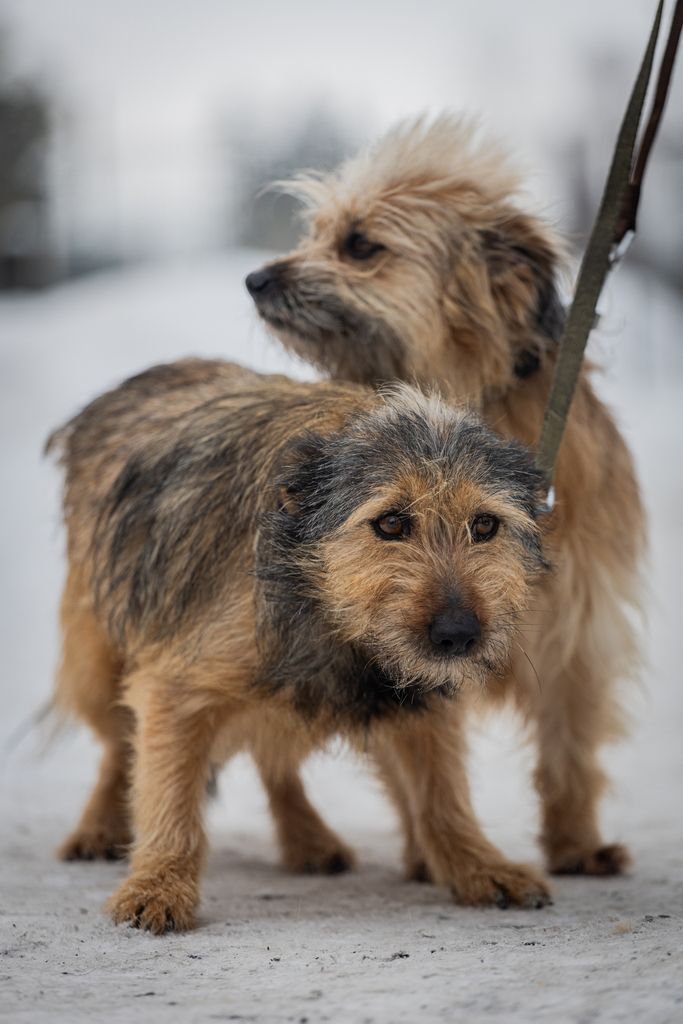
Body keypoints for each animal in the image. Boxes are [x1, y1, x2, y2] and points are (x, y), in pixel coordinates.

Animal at [48, 357, 551, 932]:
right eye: (391, 522)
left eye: (485, 524)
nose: (459, 633)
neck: (326, 605)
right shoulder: (178, 686)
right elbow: (169, 795)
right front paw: (157, 885)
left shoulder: (418, 699)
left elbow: (441, 794)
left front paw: (479, 866)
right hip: (97, 656)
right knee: (119, 745)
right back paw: (98, 826)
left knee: (277, 762)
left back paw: (309, 837)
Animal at [246, 115, 646, 877]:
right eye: (318, 233)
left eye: (360, 244)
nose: (255, 277)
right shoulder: (386, 630)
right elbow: (421, 767)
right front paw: (438, 855)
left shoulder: (573, 632)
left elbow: (568, 749)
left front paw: (575, 844)